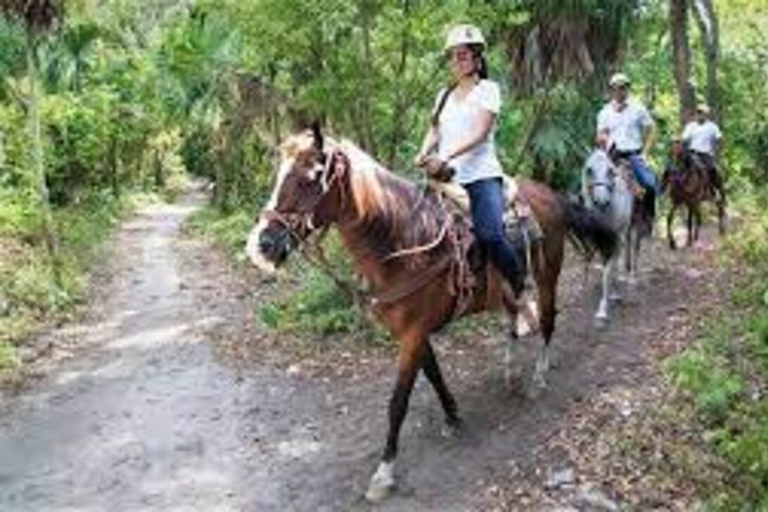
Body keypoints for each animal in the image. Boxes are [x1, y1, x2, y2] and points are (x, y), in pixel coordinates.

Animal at [246, 126, 616, 502]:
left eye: (309, 178)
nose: (263, 245)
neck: (403, 245)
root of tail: (550, 194)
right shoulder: (412, 332)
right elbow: (434, 374)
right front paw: (452, 415)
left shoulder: (412, 334)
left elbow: (398, 402)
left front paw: (384, 472)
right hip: (508, 289)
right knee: (513, 320)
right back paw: (511, 372)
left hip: (547, 275)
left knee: (548, 321)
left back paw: (538, 379)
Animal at [584, 148, 636, 320]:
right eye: (589, 170)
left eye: (610, 171)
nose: (602, 202)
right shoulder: (598, 240)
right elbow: (603, 264)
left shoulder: (615, 237)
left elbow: (608, 269)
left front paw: (603, 309)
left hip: (625, 230)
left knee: (625, 252)